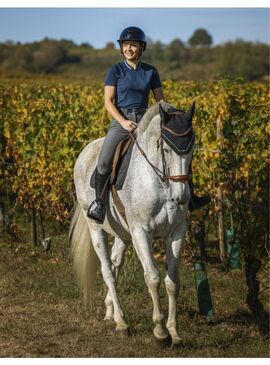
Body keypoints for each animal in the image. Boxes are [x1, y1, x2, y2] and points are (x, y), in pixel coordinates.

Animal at [69, 99, 195, 344]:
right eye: (166, 149)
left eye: (192, 149)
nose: (181, 197)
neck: (161, 183)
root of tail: (86, 151)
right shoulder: (141, 231)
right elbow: (153, 277)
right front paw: (160, 332)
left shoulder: (176, 231)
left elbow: (172, 282)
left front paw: (174, 332)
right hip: (96, 227)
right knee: (107, 270)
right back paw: (121, 322)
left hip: (123, 233)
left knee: (115, 264)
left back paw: (111, 311)